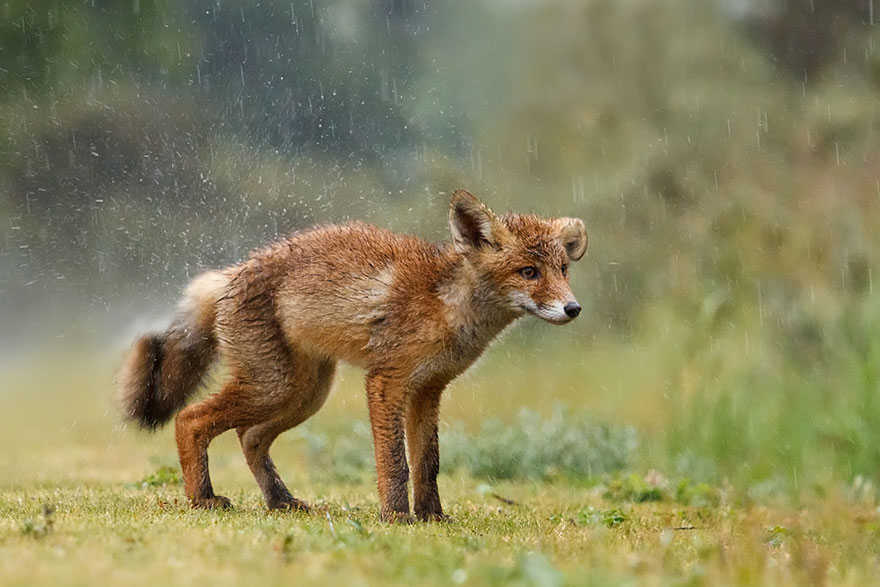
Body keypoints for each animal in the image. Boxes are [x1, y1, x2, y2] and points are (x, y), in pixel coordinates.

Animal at [118, 189, 587, 523]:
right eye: (529, 272)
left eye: (563, 270)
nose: (573, 308)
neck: (446, 307)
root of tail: (232, 273)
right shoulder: (386, 380)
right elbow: (395, 461)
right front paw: (397, 516)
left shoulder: (428, 390)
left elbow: (428, 463)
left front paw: (432, 517)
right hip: (273, 386)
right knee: (190, 419)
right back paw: (203, 498)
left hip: (306, 394)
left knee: (250, 437)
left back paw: (280, 500)